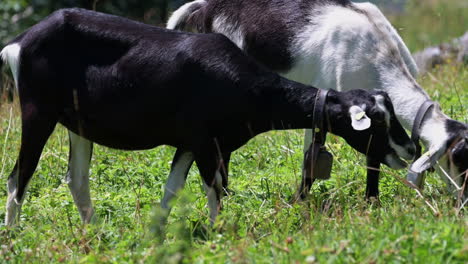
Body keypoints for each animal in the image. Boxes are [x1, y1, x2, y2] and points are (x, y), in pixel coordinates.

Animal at [0, 8, 412, 227]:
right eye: (377, 120)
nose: (408, 149)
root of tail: (18, 44)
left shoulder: (189, 143)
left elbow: (171, 190)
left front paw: (157, 233)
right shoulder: (204, 143)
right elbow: (214, 188)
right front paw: (218, 232)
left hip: (79, 125)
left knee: (76, 179)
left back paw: (94, 232)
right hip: (38, 113)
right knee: (19, 175)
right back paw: (15, 233)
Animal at [168, 0, 468, 200]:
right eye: (458, 158)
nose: (409, 149)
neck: (377, 52)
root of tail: (205, 6)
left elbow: (372, 158)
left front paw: (371, 201)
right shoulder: (322, 104)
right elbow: (311, 161)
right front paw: (300, 202)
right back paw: (227, 193)